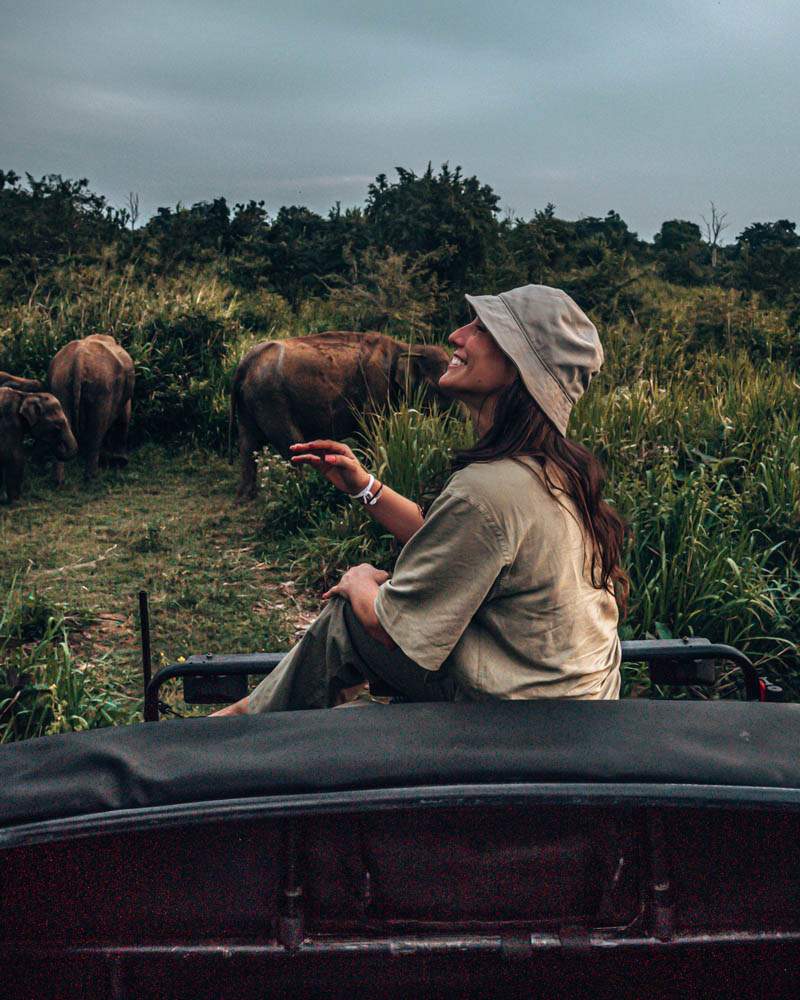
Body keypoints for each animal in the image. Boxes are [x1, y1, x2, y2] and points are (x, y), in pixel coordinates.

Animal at [48, 334, 134, 482]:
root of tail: (78, 360)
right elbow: (125, 415)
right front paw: (121, 462)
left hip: (60, 382)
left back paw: (58, 481)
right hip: (102, 386)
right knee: (97, 428)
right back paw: (92, 478)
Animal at [231, 330, 454, 498]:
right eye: (440, 388)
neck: (407, 347)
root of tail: (244, 363)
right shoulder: (376, 386)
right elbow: (373, 430)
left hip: (251, 400)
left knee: (248, 443)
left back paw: (246, 496)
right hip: (271, 398)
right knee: (291, 444)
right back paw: (301, 490)